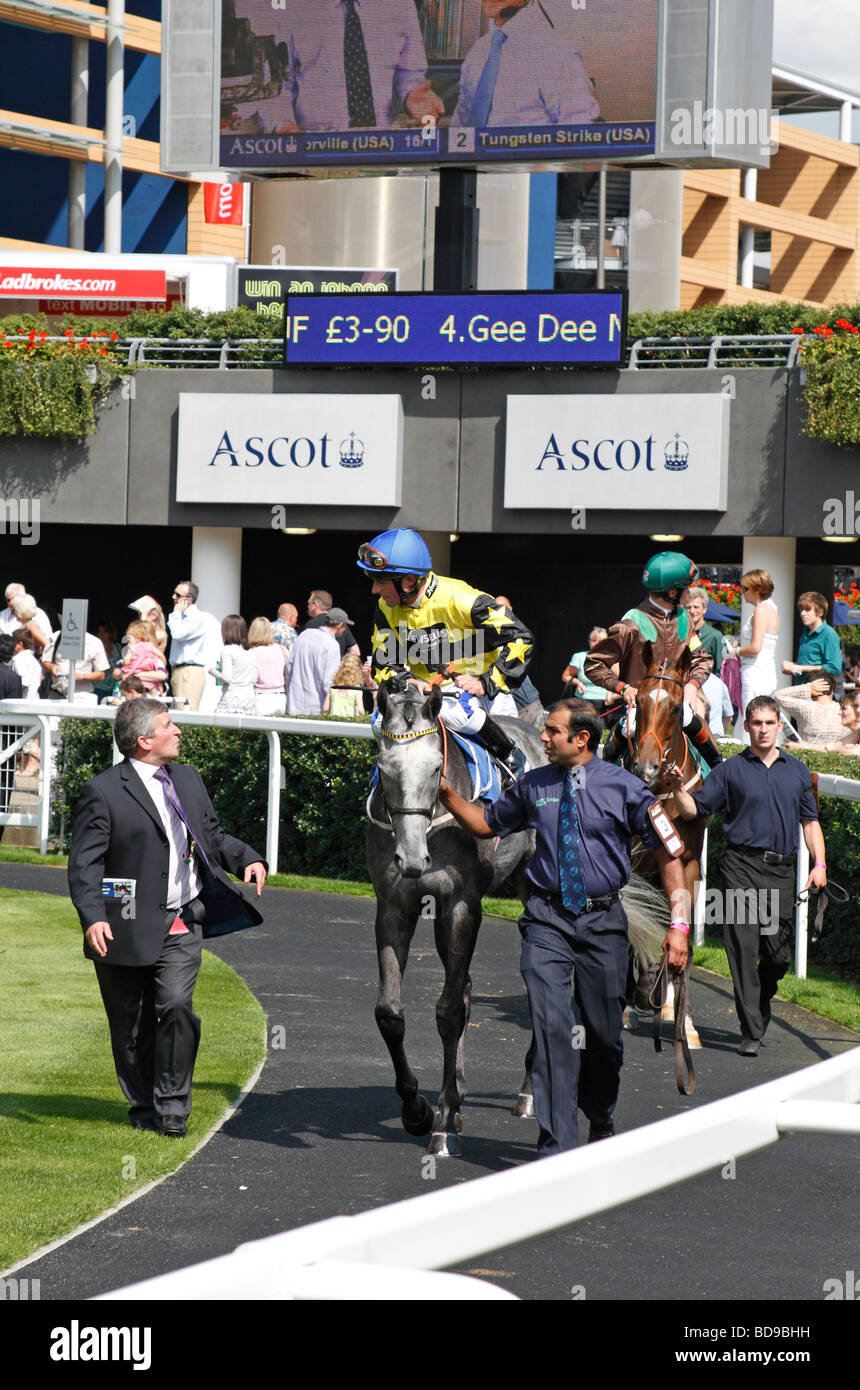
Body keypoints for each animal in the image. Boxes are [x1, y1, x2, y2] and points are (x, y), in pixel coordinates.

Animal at [366, 678, 541, 1156]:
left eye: (435, 770)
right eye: (385, 769)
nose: (411, 859)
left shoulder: (462, 905)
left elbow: (447, 1012)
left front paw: (441, 1123)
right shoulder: (394, 906)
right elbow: (390, 1012)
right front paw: (418, 1111)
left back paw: (527, 1092)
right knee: (464, 988)